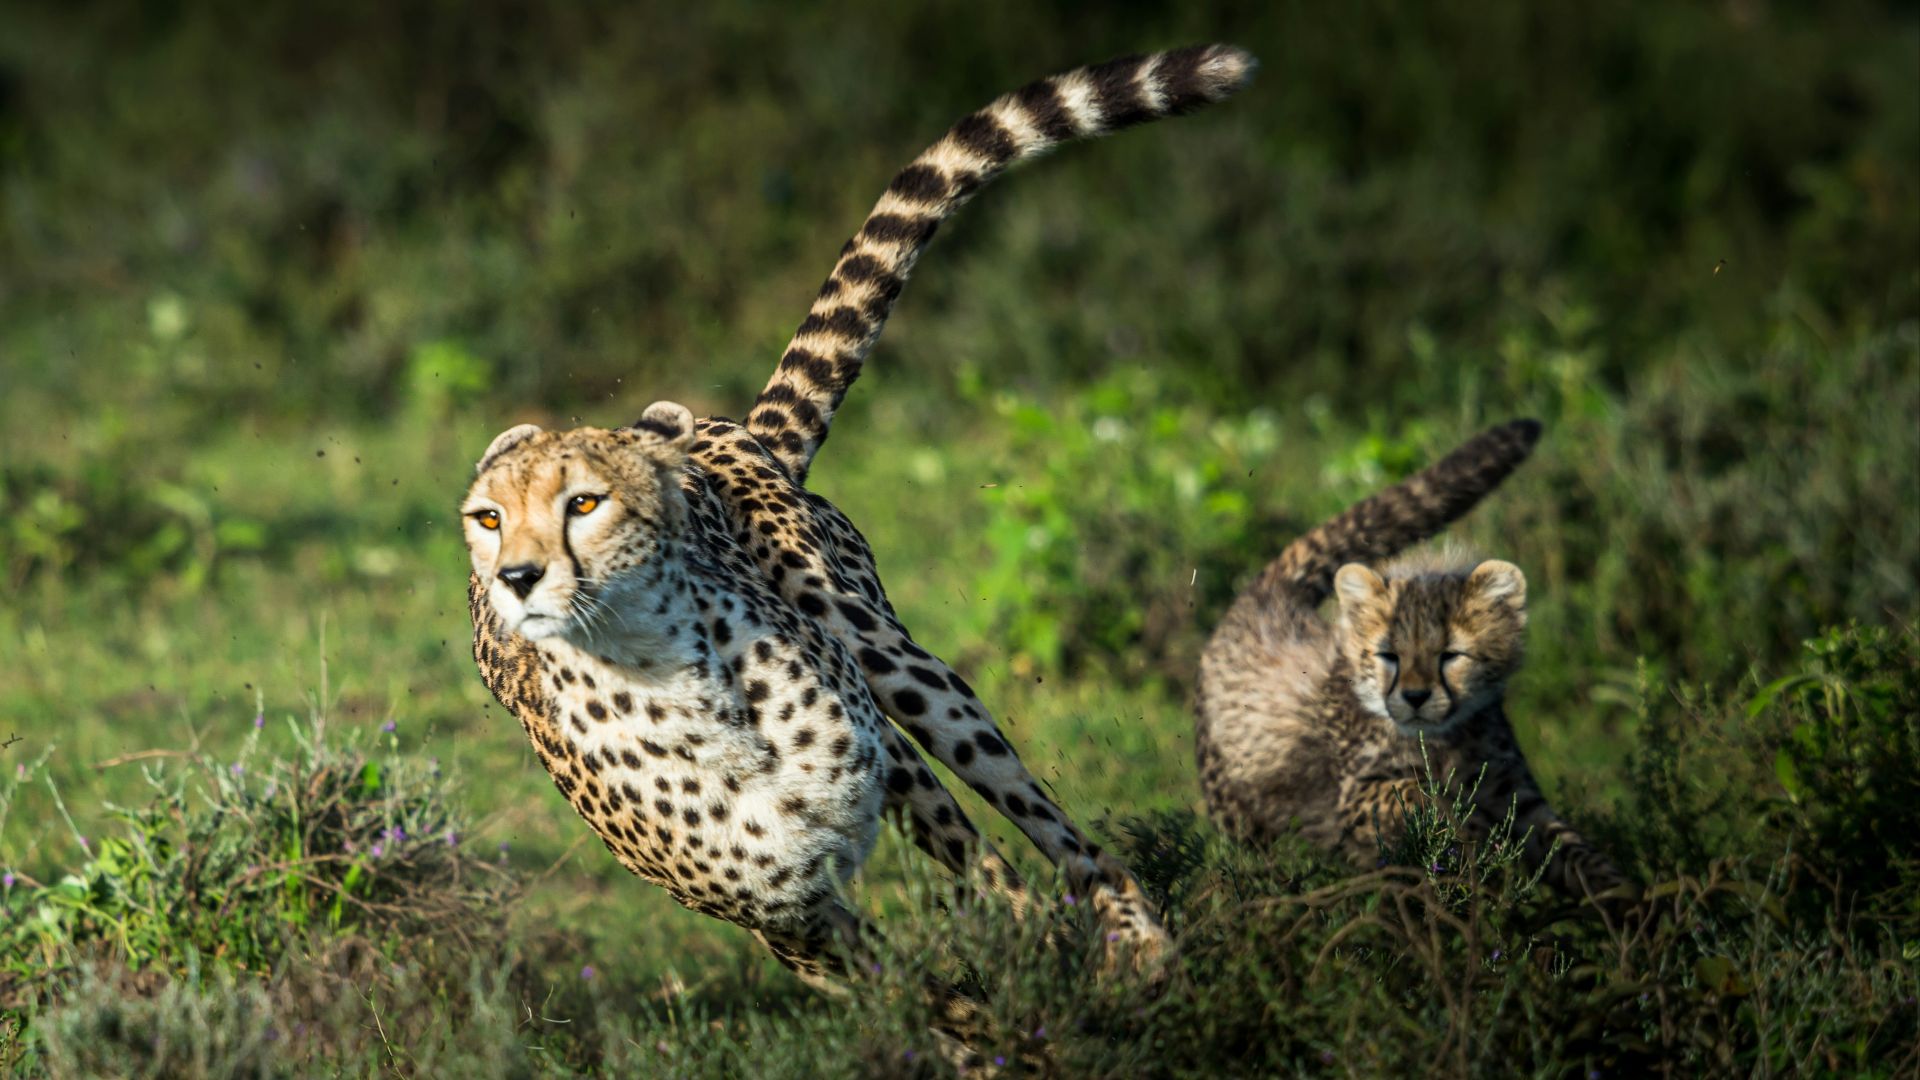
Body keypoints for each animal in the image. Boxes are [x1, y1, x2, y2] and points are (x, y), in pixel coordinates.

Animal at [460, 44, 1256, 1036]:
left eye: (584, 503)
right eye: (488, 518)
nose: (518, 577)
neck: (670, 685)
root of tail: (726, 427)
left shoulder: (887, 774)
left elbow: (1000, 895)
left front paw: (1054, 988)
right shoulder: (788, 921)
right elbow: (924, 1000)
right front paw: (1001, 1032)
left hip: (894, 664)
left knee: (1054, 831)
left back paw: (1137, 942)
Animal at [1194, 419, 1631, 902]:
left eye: (1450, 655)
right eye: (1388, 655)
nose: (1416, 697)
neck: (1443, 738)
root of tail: (1267, 596)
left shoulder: (1515, 796)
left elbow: (1574, 851)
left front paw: (1633, 905)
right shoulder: (1351, 799)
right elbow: (1416, 793)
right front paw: (1462, 829)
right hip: (1240, 815)